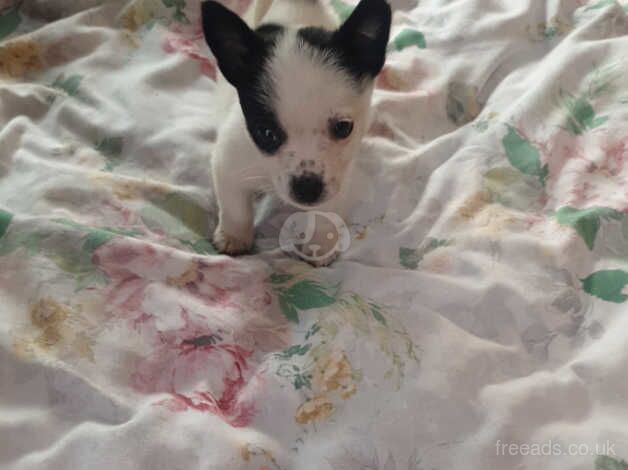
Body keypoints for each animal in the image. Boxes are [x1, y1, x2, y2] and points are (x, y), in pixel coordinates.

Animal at [201, 0, 390, 264]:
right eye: (266, 133)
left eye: (343, 128)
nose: (307, 188)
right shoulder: (229, 163)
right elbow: (234, 206)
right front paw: (234, 236)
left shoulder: (340, 177)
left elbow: (327, 211)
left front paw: (322, 242)